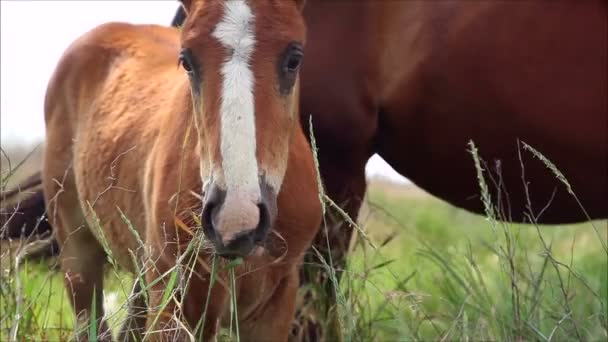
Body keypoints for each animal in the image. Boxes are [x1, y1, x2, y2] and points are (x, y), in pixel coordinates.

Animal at [14, 0, 320, 340]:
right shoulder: (176, 300)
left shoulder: (277, 303)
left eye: (294, 58)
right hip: (77, 252)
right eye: (187, 61)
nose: (236, 219)